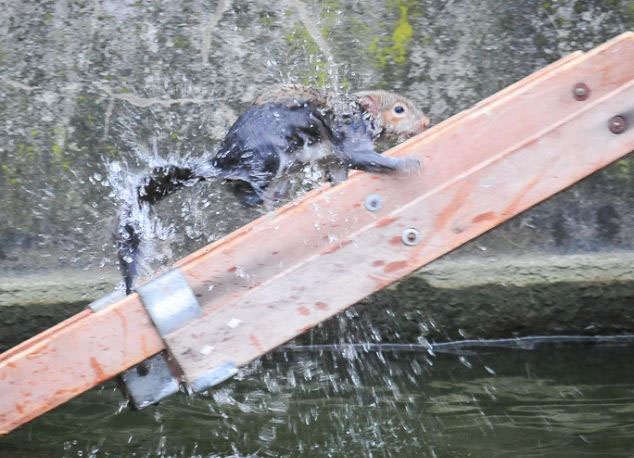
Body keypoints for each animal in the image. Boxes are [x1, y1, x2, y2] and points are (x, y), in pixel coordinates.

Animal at [117, 85, 430, 292]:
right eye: (399, 110)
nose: (426, 122)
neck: (359, 114)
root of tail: (220, 160)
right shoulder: (350, 135)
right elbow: (363, 158)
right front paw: (406, 164)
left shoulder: (333, 159)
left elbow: (339, 173)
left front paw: (339, 183)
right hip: (267, 160)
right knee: (246, 194)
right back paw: (272, 194)